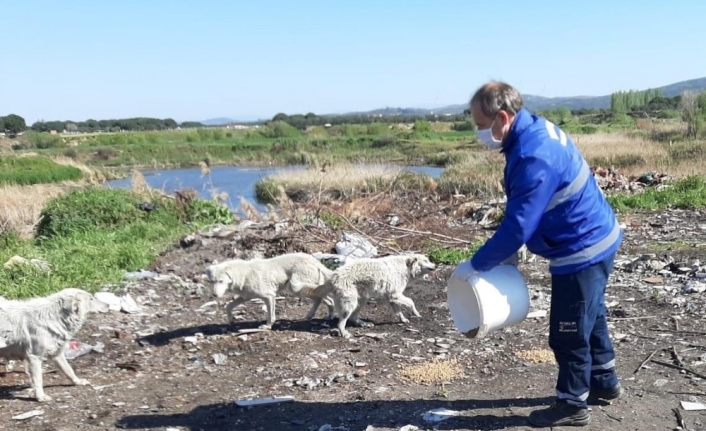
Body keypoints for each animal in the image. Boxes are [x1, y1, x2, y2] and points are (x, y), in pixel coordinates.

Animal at [204, 251, 336, 330]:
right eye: (212, 281)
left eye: (221, 281)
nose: (214, 295)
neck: (243, 274)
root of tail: (315, 261)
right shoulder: (245, 297)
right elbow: (228, 306)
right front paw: (231, 320)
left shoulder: (269, 296)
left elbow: (271, 315)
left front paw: (267, 327)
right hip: (298, 289)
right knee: (324, 299)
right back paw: (323, 315)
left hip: (296, 288)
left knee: (324, 299)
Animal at [292, 253, 434, 340]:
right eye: (426, 260)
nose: (435, 265)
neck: (405, 267)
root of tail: (335, 275)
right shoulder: (396, 294)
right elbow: (411, 301)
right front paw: (416, 313)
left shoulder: (392, 297)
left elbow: (398, 311)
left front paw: (403, 319)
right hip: (350, 303)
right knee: (341, 322)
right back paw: (344, 333)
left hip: (361, 299)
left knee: (354, 317)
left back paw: (363, 324)